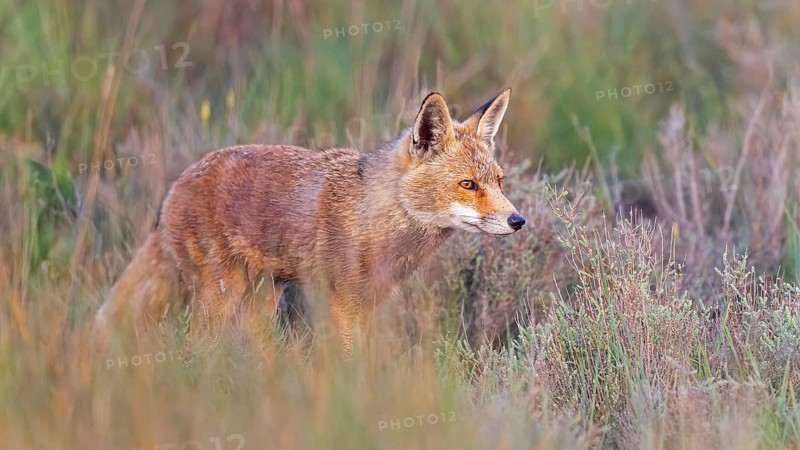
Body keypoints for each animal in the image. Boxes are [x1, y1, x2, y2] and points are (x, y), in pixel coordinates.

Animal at [93, 89, 526, 354]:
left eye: (499, 181)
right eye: (468, 184)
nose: (518, 220)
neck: (376, 221)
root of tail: (173, 189)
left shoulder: (371, 303)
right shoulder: (342, 304)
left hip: (261, 302)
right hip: (222, 297)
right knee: (194, 350)